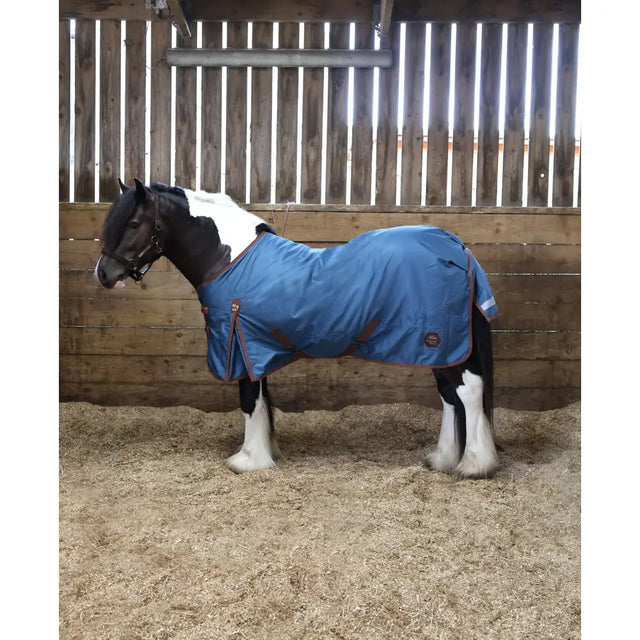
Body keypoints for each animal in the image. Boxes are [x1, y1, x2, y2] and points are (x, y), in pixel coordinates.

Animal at [95, 178, 500, 479]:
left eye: (133, 223)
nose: (104, 274)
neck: (229, 259)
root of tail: (457, 247)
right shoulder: (252, 346)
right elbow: (262, 400)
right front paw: (265, 450)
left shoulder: (239, 342)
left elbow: (249, 400)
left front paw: (248, 460)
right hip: (439, 347)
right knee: (449, 396)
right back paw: (442, 459)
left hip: (443, 342)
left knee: (468, 392)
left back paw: (474, 465)